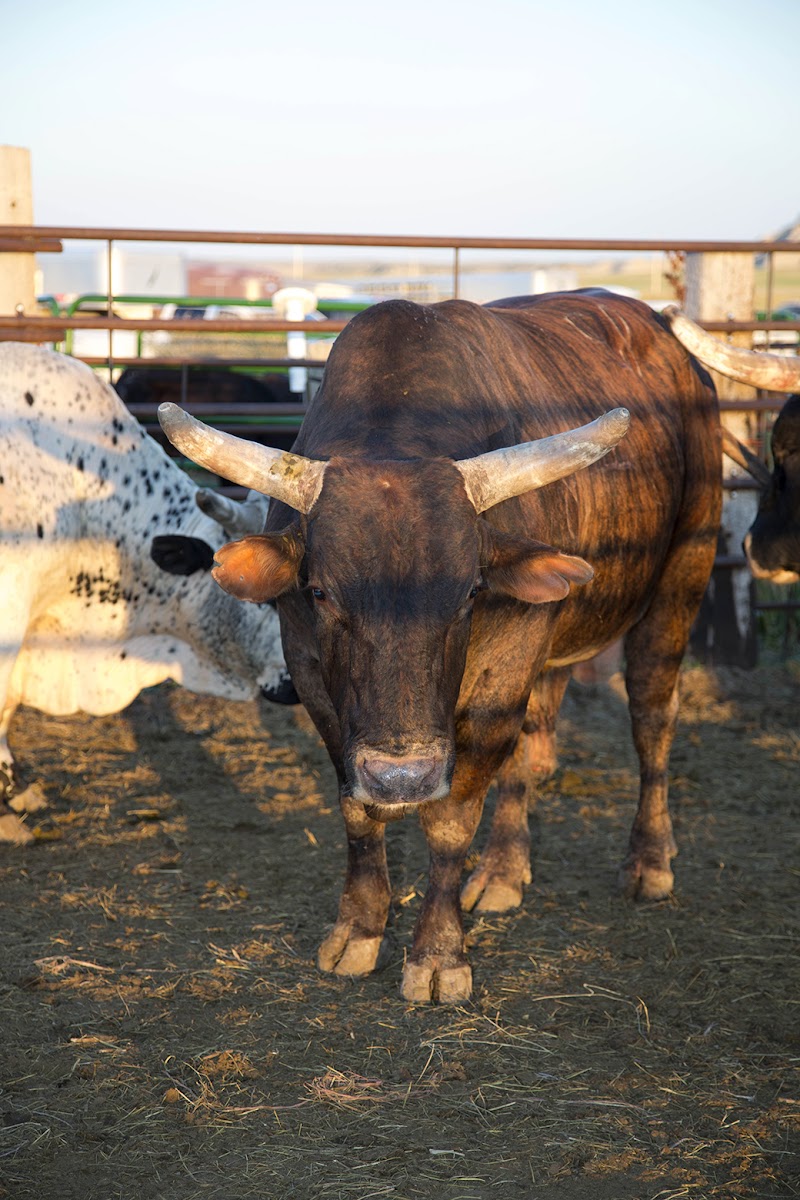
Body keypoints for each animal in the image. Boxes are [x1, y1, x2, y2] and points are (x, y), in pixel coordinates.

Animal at [159, 289, 790, 1005]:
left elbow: (452, 821)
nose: (403, 776)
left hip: (680, 579)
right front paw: (358, 930)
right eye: (319, 592)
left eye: (467, 592)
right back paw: (503, 871)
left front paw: (438, 955)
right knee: (532, 747)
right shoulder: (317, 683)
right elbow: (358, 810)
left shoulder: (492, 691)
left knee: (652, 719)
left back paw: (649, 861)